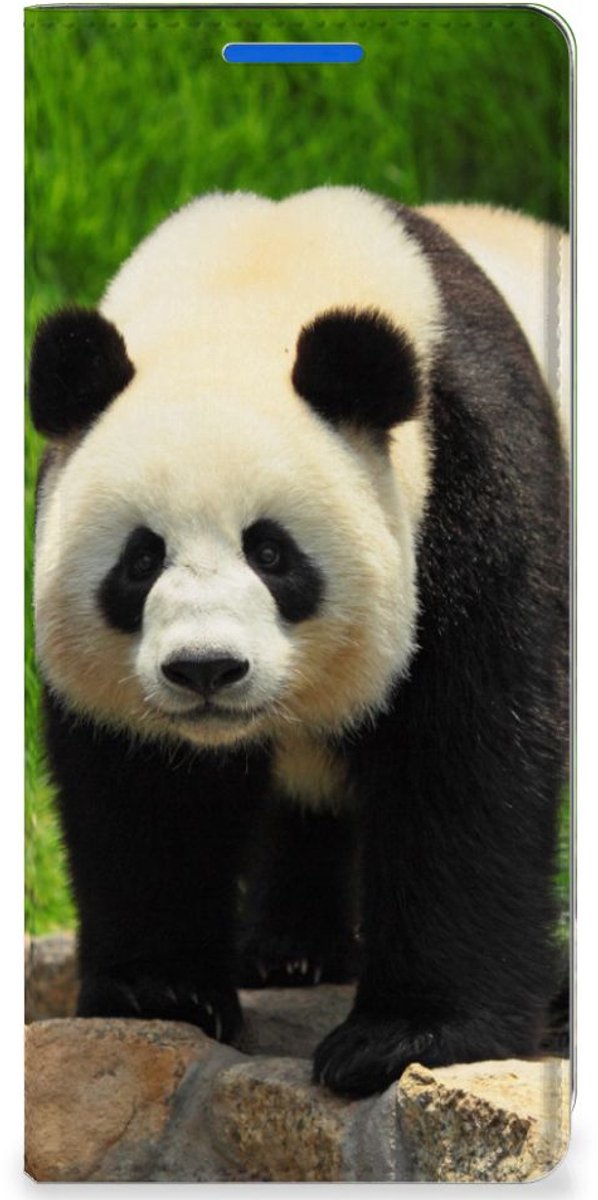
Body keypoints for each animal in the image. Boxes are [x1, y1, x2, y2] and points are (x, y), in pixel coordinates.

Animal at [30, 187, 569, 1098]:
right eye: (141, 559)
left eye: (272, 552)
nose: (206, 669)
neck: (252, 284)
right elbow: (143, 790)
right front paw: (161, 991)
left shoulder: (472, 482)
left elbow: (469, 757)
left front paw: (404, 1036)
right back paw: (289, 951)